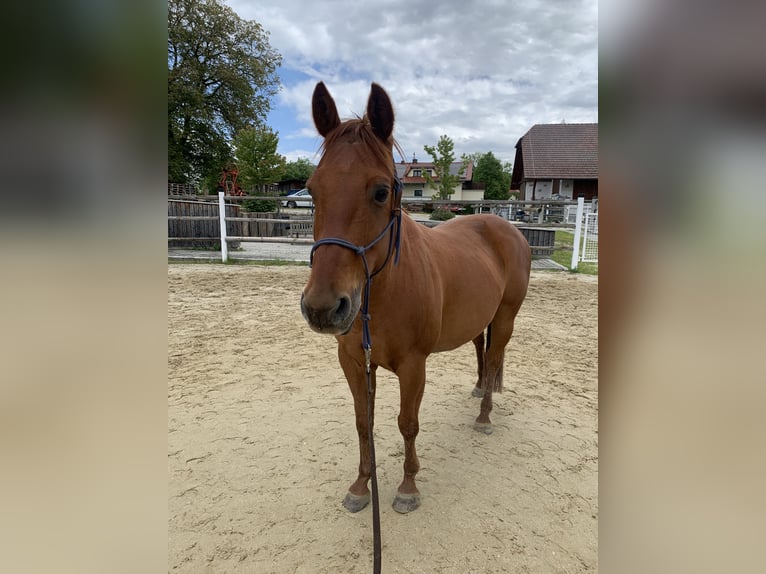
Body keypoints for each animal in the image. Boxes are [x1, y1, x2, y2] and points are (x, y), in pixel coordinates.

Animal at [301, 82, 531, 515]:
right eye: (312, 190)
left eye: (381, 192)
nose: (323, 308)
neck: (384, 294)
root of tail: (504, 226)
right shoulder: (354, 362)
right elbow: (364, 423)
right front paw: (361, 486)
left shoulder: (413, 366)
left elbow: (407, 423)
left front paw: (408, 487)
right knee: (481, 349)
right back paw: (479, 389)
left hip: (506, 317)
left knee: (495, 357)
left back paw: (484, 416)